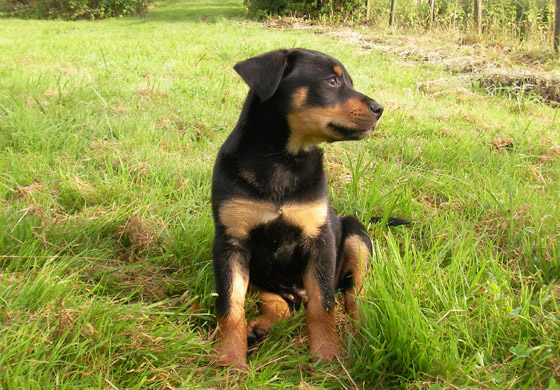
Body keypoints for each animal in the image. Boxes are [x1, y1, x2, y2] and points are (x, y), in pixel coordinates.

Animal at [210, 48, 384, 368]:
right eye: (331, 81)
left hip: (355, 235)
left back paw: (364, 329)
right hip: (258, 271)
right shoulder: (230, 243)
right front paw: (229, 358)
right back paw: (260, 326)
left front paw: (328, 355)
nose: (380, 108)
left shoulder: (320, 239)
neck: (282, 162)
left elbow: (323, 303)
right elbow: (230, 304)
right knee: (278, 303)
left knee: (355, 293)